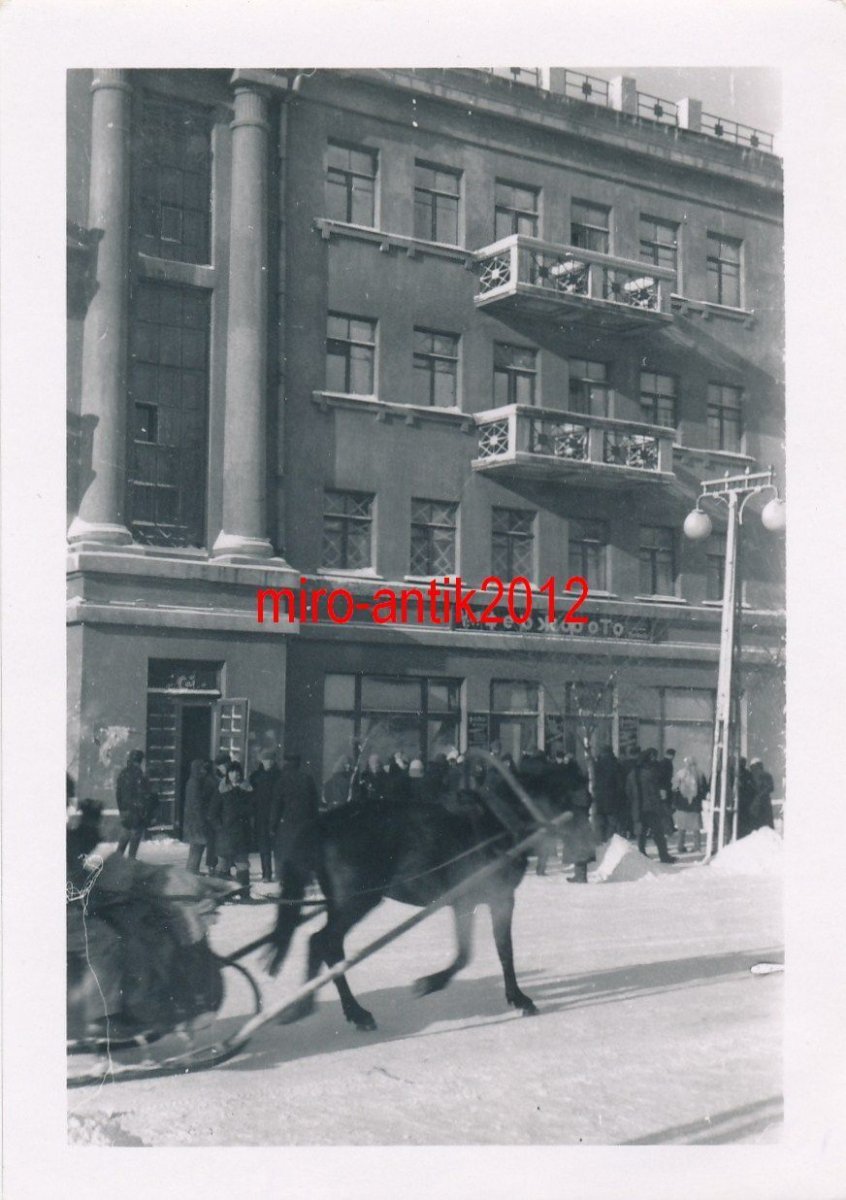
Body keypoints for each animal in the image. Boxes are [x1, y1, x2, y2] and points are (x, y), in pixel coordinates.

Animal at [265, 784, 542, 1032]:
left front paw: (518, 999)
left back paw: (310, 1005)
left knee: (321, 944)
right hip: (357, 902)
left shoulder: (500, 898)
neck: (495, 821)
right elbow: (466, 954)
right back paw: (352, 1012)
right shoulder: (468, 900)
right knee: (324, 942)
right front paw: (428, 984)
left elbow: (504, 951)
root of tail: (323, 823)